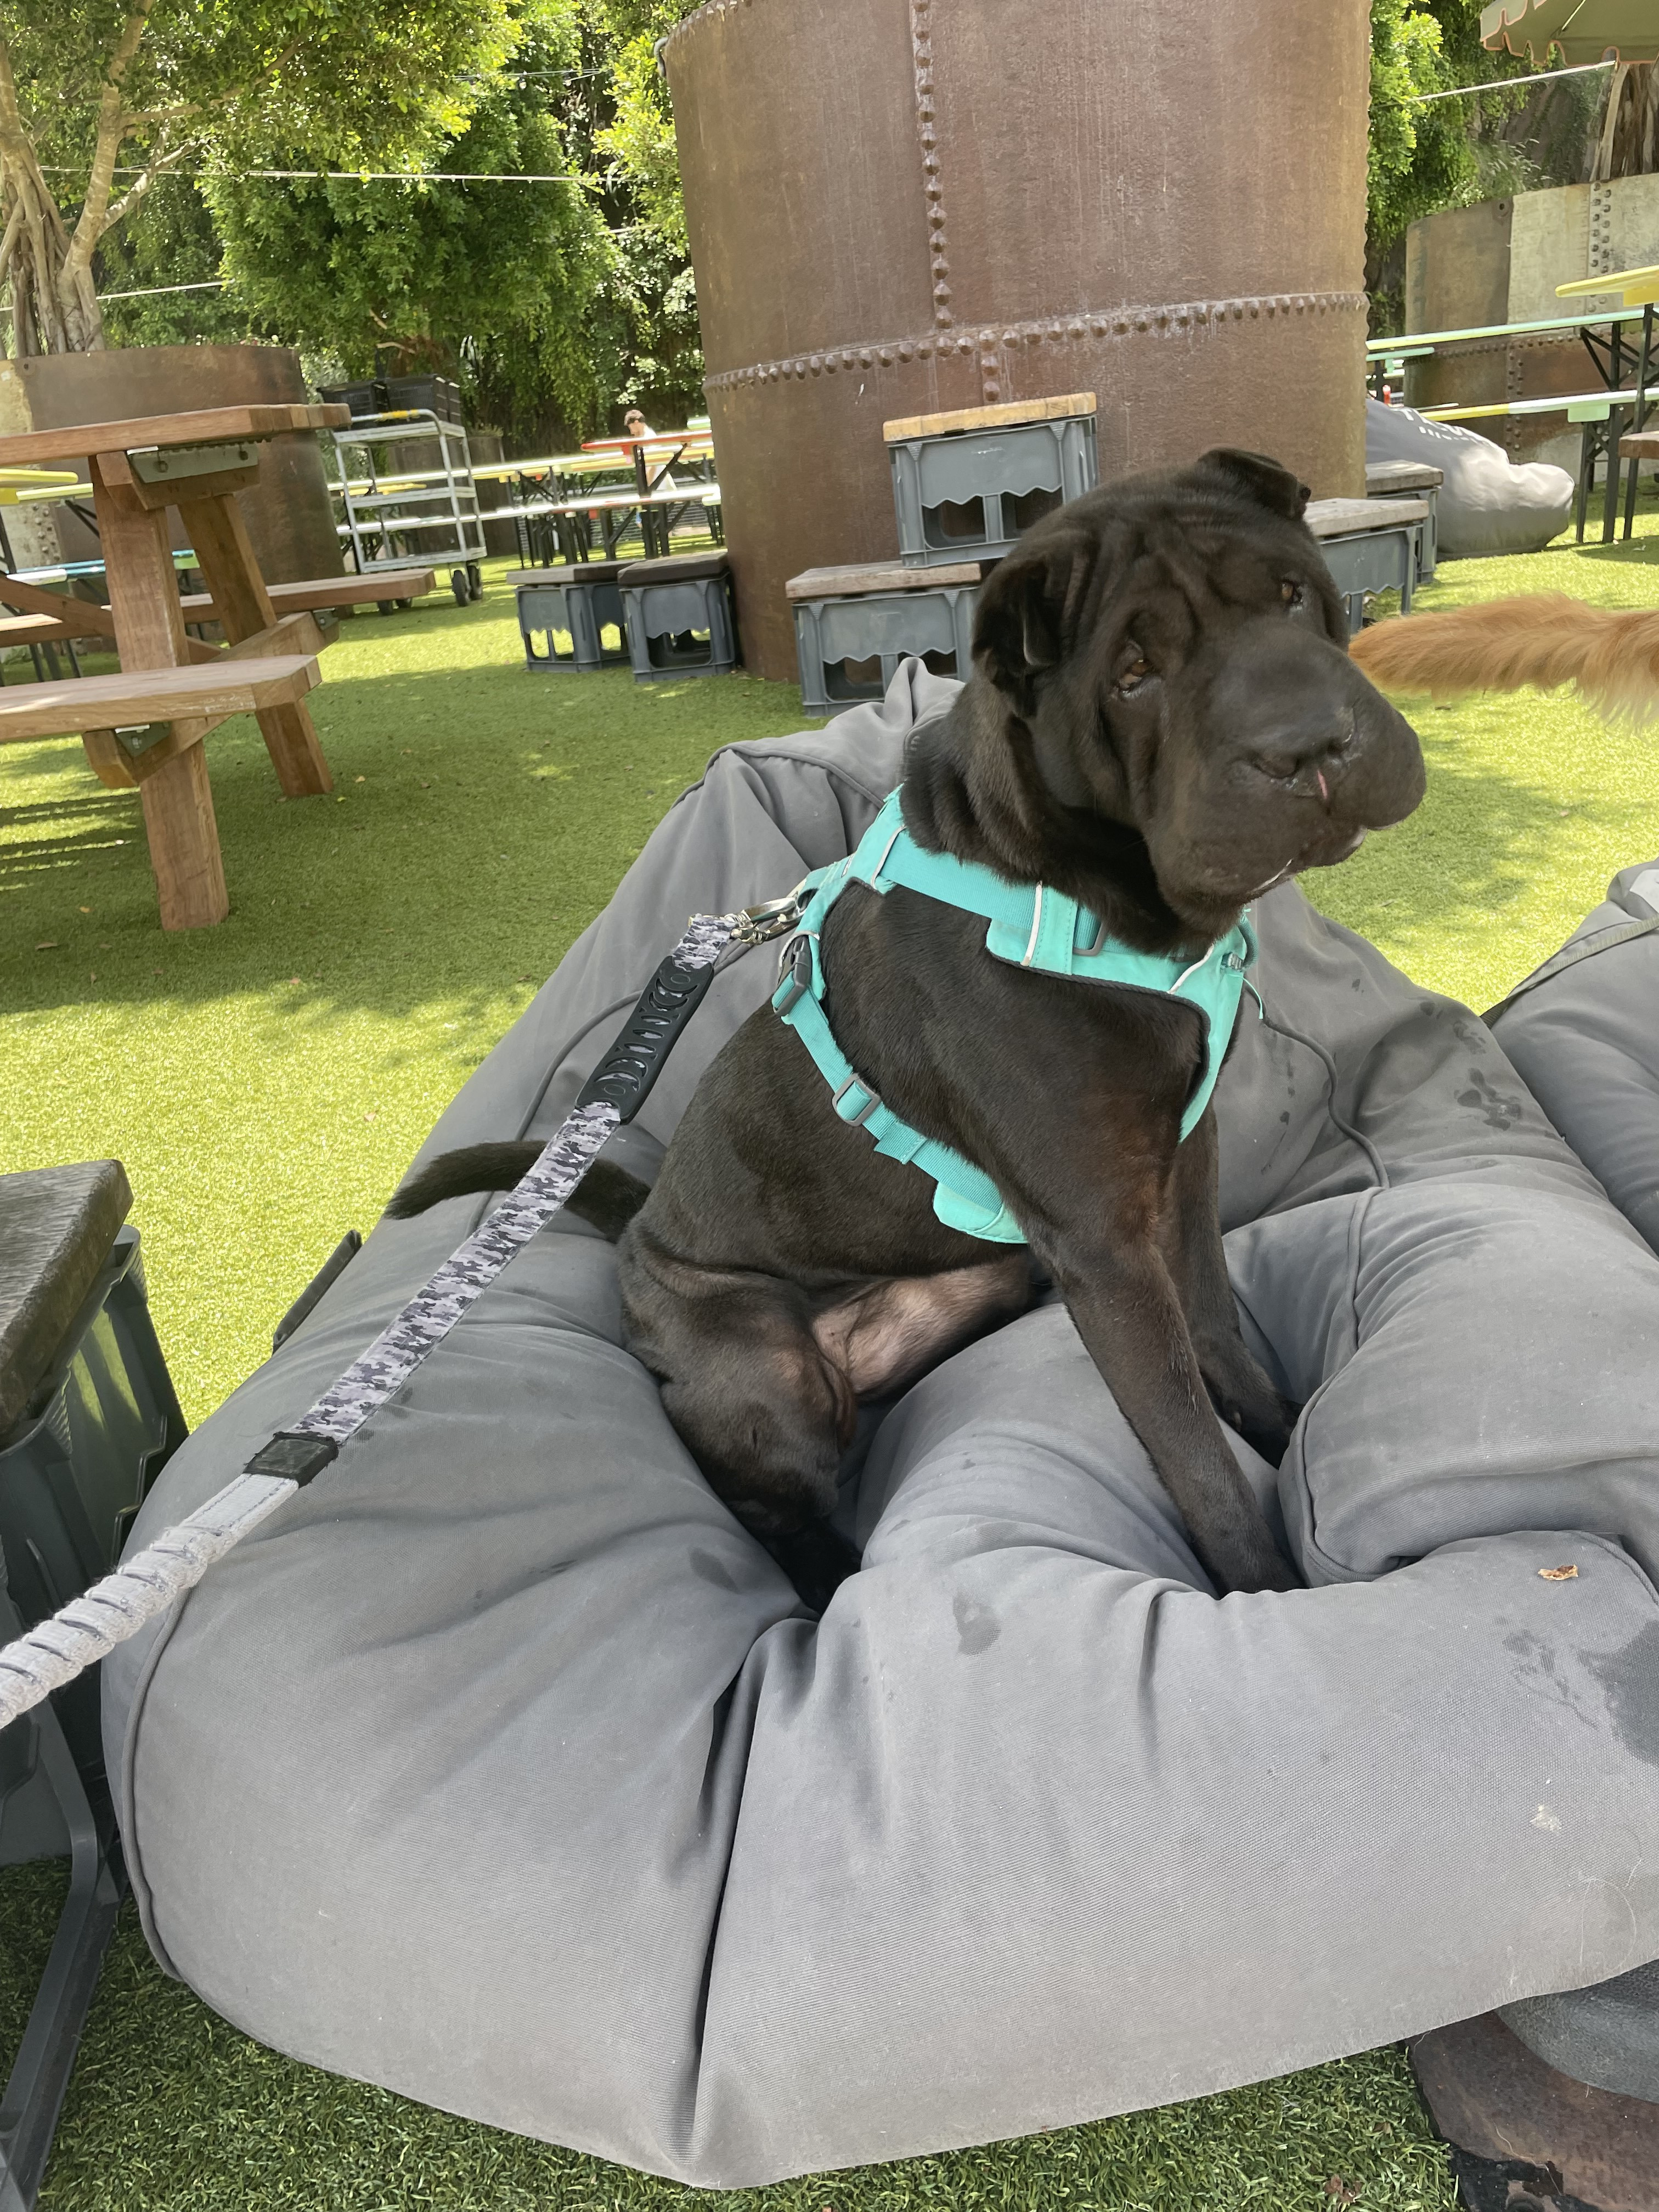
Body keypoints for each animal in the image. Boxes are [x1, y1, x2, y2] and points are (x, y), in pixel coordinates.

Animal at [390, 449, 1426, 1601]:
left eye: (1290, 594)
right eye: (1131, 676)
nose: (1307, 746)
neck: (1085, 897)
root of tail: (639, 1223)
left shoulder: (1177, 1180)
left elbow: (1220, 1336)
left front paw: (1285, 1426)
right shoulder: (1104, 1247)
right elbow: (1190, 1450)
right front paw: (1264, 1583)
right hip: (767, 1365)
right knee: (765, 1502)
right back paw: (825, 1580)